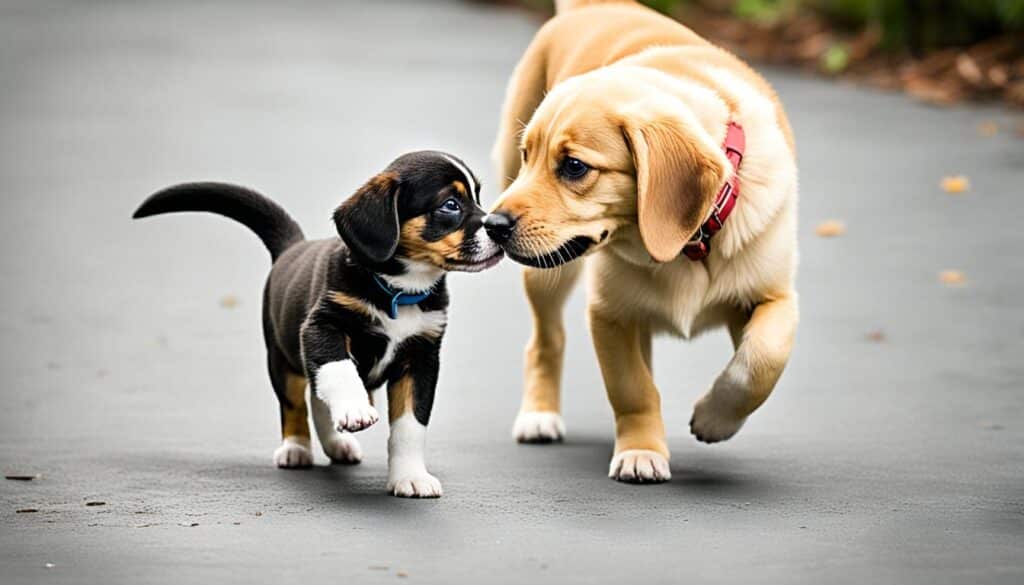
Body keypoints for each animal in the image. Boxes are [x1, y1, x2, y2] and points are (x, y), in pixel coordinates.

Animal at [134, 152, 501, 499]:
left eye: (478, 197)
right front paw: (354, 409)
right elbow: (338, 371)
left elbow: (410, 426)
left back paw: (338, 445)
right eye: (450, 205)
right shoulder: (322, 326)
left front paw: (410, 477)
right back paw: (296, 447)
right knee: (296, 403)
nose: (498, 226)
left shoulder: (421, 356)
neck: (397, 289)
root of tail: (292, 247)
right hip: (281, 359)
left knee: (317, 397)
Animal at [487, 0, 798, 485]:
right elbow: (633, 389)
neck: (689, 245)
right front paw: (641, 451)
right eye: (527, 156)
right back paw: (539, 416)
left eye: (574, 166)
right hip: (550, 274)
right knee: (545, 341)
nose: (491, 224)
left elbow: (761, 360)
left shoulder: (775, 297)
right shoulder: (610, 315)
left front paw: (716, 420)